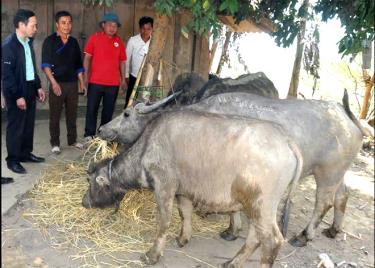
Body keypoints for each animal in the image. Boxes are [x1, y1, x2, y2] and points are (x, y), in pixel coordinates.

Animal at [82, 110, 302, 266]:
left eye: (90, 181)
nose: (84, 202)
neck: (148, 147)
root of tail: (287, 140)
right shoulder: (183, 192)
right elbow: (185, 213)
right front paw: (183, 238)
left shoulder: (164, 188)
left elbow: (163, 223)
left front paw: (152, 255)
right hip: (255, 207)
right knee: (256, 237)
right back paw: (232, 262)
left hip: (261, 205)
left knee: (272, 241)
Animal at [98, 89, 372, 246]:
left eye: (126, 114)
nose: (101, 128)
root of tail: (347, 115)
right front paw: (232, 229)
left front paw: (229, 227)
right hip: (338, 173)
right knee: (342, 196)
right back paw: (333, 230)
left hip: (327, 173)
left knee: (323, 202)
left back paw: (304, 236)